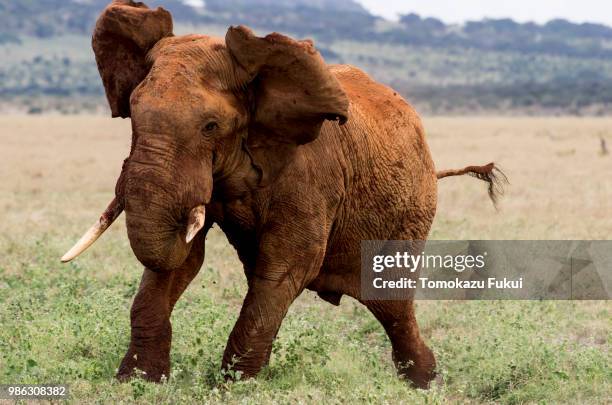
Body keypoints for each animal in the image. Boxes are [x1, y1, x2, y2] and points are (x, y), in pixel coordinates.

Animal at [62, 1, 504, 390]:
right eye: (132, 114)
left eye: (210, 126)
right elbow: (182, 260)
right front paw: (136, 383)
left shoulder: (310, 175)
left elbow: (288, 265)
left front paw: (232, 389)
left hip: (411, 210)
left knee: (391, 304)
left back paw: (426, 386)